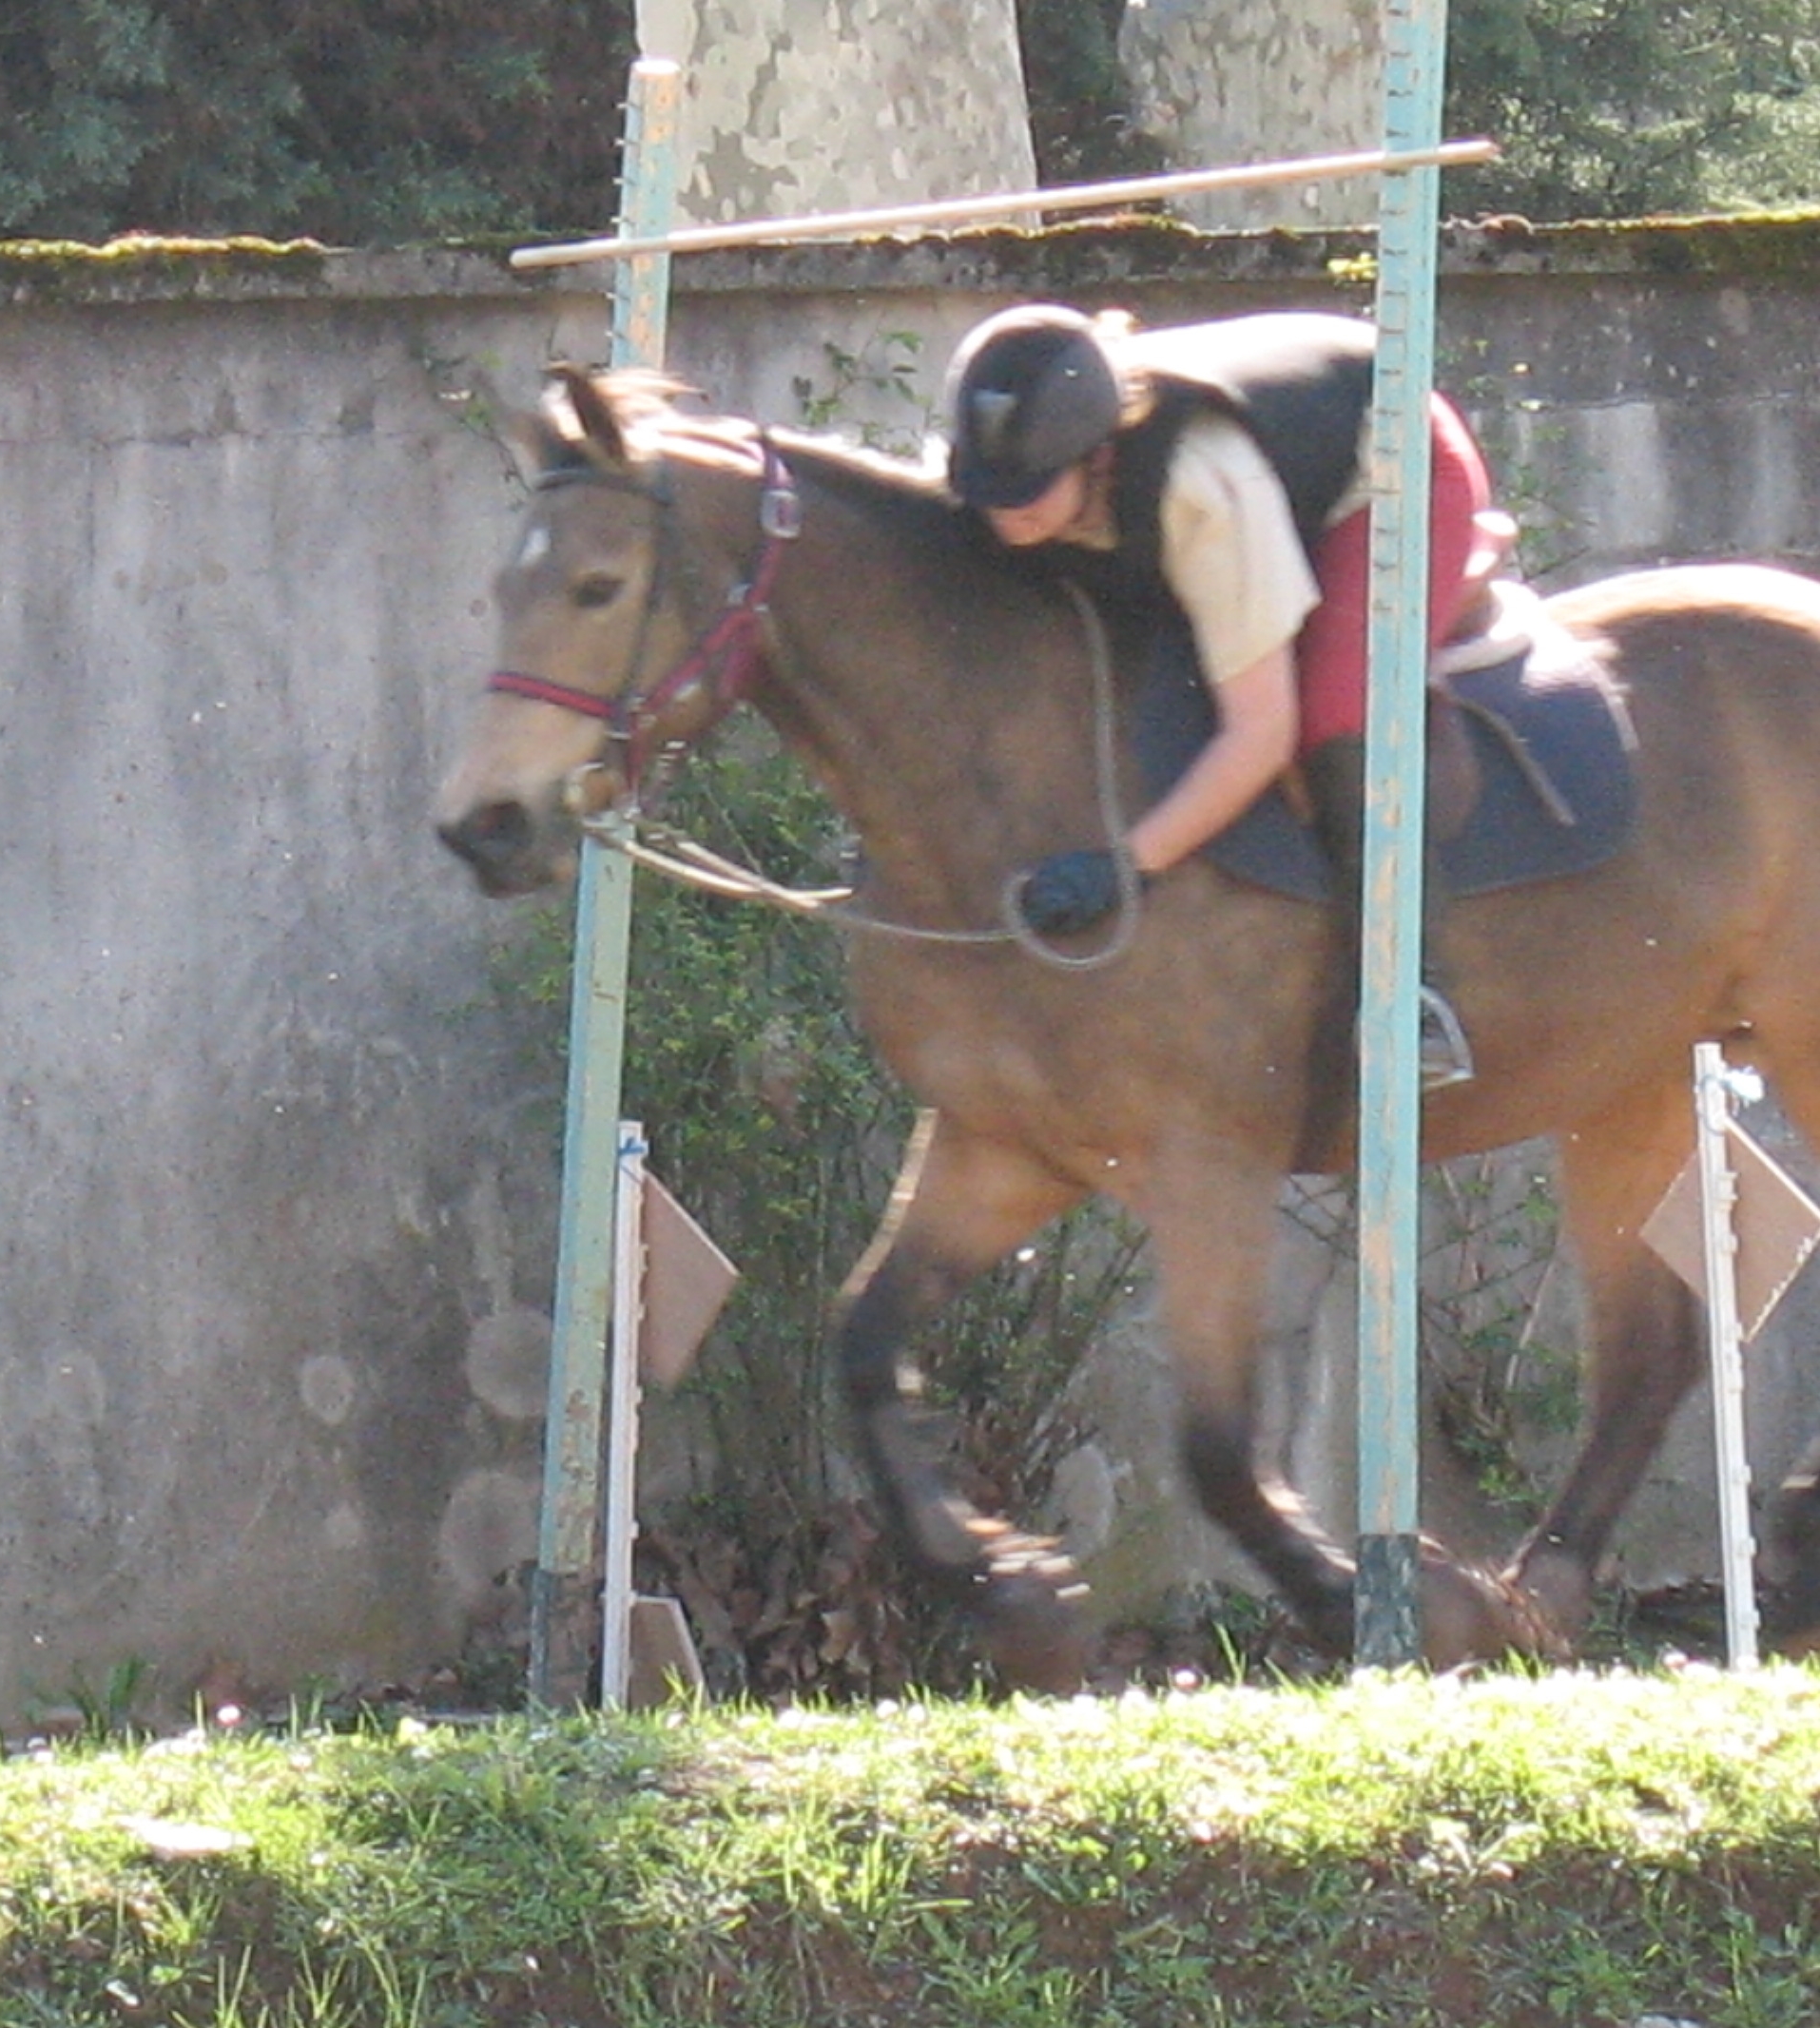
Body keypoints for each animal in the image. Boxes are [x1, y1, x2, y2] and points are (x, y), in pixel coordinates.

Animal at [436, 360, 1820, 1679]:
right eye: (501, 590)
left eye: (601, 586)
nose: (480, 827)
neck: (1007, 785)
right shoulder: (1002, 1148)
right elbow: (864, 1343)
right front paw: (1011, 1594)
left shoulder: (1208, 1164)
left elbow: (1212, 1445)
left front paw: (1389, 1603)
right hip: (1629, 1073)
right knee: (1649, 1356)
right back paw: (1541, 1597)